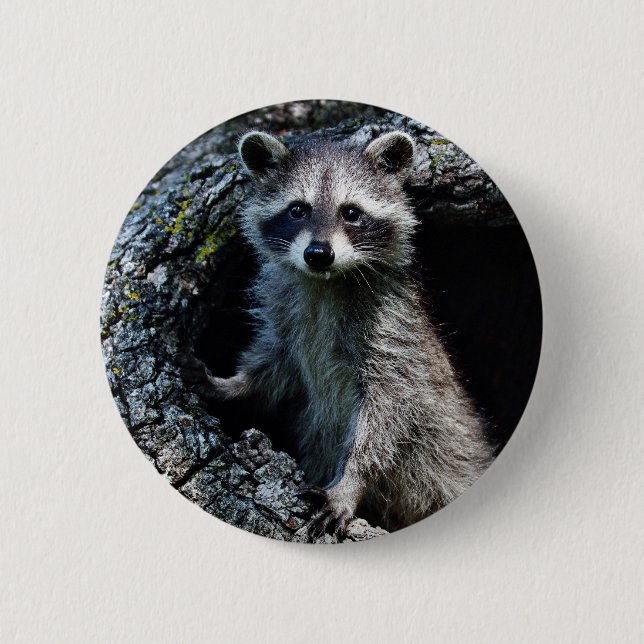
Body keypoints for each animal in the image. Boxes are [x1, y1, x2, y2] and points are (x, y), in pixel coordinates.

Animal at [188, 128, 493, 536]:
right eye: (297, 209)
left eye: (351, 212)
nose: (318, 254)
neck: (325, 282)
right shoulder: (285, 313)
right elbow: (273, 367)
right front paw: (232, 385)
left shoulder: (392, 328)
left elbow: (389, 410)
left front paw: (350, 481)